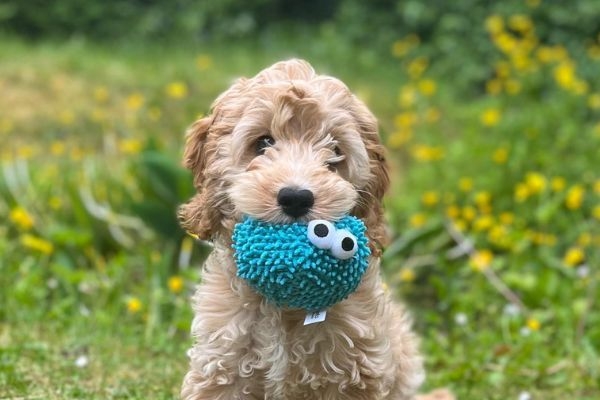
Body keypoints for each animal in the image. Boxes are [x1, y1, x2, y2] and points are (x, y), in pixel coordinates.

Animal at [178, 59, 426, 400]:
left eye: (334, 151)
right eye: (263, 143)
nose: (296, 198)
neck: (284, 304)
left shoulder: (358, 369)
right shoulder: (221, 362)